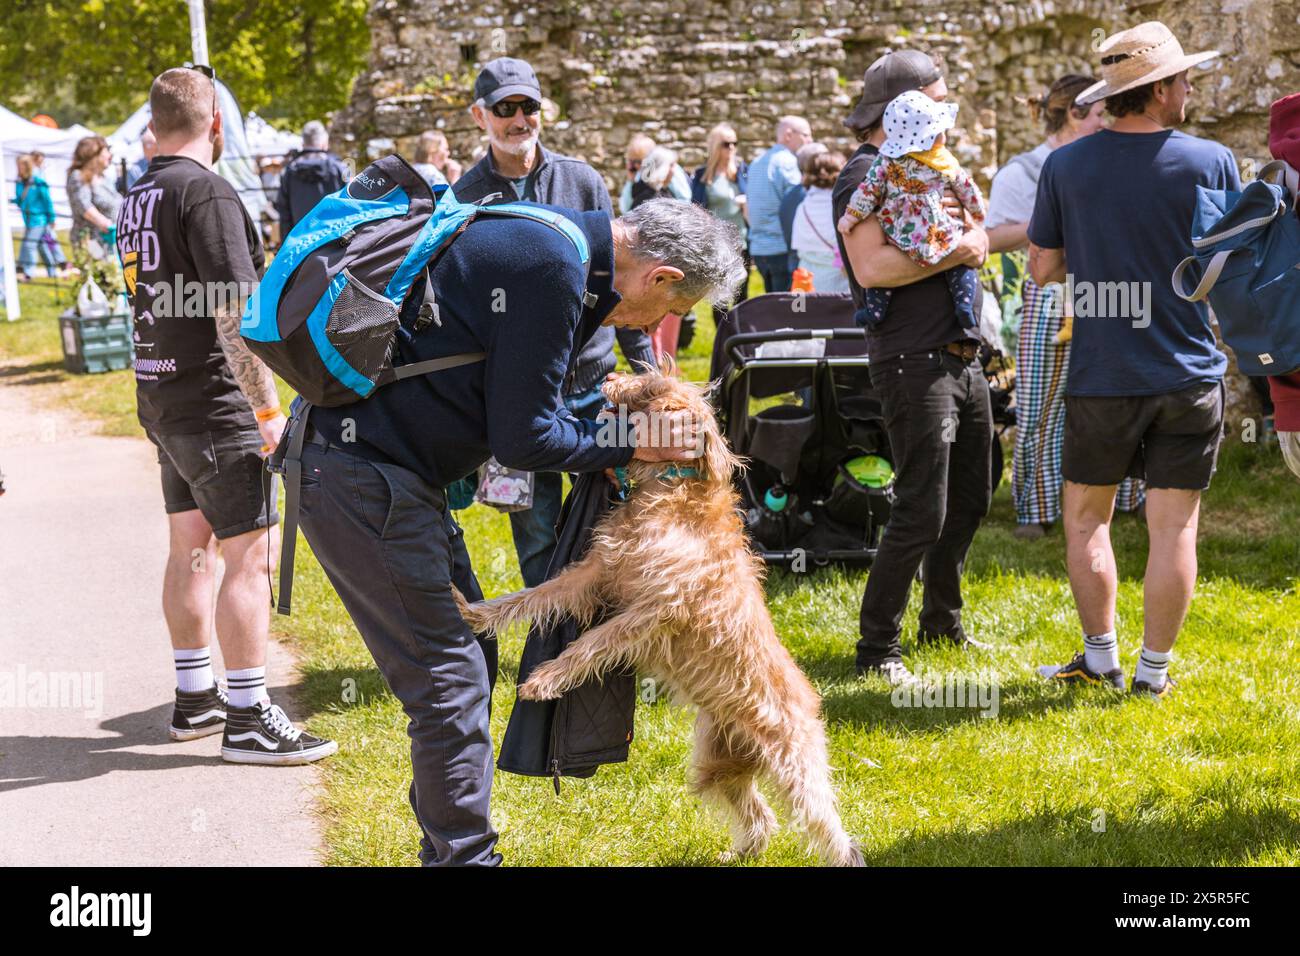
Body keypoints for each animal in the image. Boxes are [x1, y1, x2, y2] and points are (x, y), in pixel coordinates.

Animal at [457, 361, 863, 868]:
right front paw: (475, 612)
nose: (608, 375)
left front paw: (543, 680)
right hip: (716, 765)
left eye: (650, 386)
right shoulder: (593, 575)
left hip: (795, 771)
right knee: (760, 816)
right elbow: (532, 597)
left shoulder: (655, 610)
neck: (668, 491)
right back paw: (739, 854)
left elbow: (590, 644)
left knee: (831, 830)